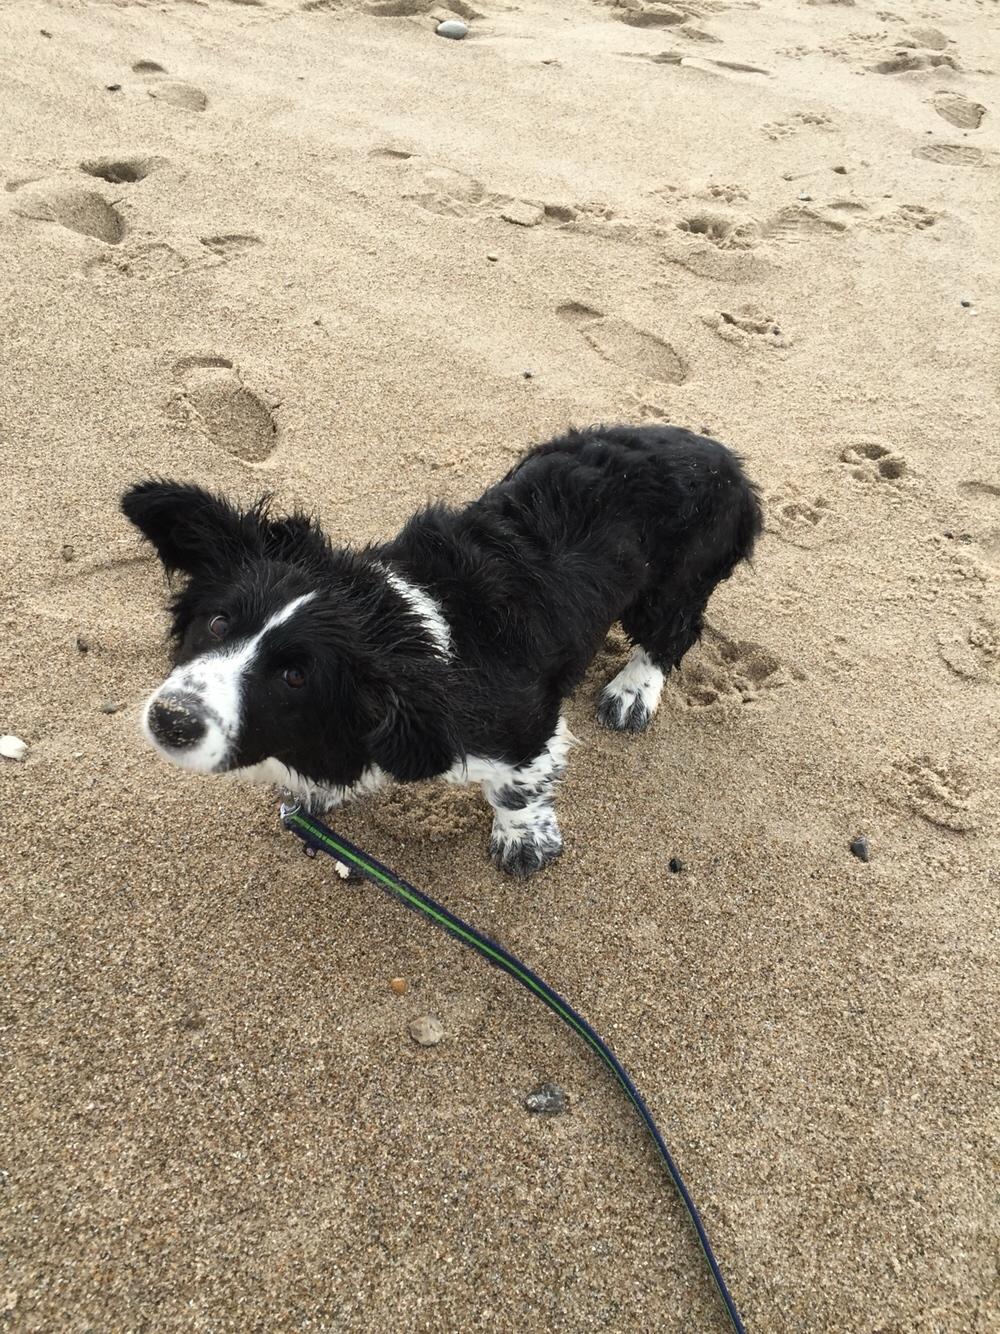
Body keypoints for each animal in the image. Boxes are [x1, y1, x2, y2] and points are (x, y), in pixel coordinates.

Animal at [125, 426, 762, 880]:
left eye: (296, 676)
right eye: (217, 621)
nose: (171, 719)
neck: (400, 624)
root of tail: (724, 458)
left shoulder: (522, 725)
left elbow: (516, 786)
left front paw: (524, 841)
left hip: (672, 585)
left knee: (671, 633)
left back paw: (631, 694)